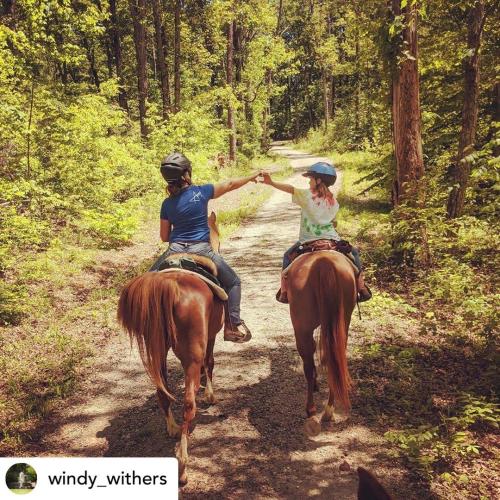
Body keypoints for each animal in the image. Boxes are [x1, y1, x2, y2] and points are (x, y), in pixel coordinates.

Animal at [117, 214, 223, 484]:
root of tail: (168, 285)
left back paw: (172, 428)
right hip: (190, 353)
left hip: (156, 348)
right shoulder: (211, 336)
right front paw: (209, 393)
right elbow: (210, 362)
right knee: (188, 403)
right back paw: (183, 463)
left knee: (162, 391)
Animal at [286, 250, 356, 434]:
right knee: (335, 360)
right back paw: (328, 411)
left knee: (308, 365)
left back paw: (311, 410)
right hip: (342, 322)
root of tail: (323, 263)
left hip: (301, 327)